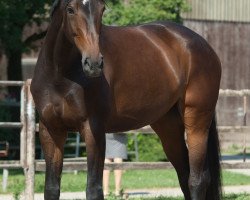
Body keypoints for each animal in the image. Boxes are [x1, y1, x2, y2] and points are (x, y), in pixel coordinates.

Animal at [30, 0, 221, 200]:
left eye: (102, 10)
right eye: (70, 10)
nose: (94, 64)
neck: (59, 75)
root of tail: (202, 45)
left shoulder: (93, 130)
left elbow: (93, 189)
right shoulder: (50, 130)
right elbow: (51, 188)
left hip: (197, 123)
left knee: (197, 180)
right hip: (168, 127)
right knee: (184, 175)